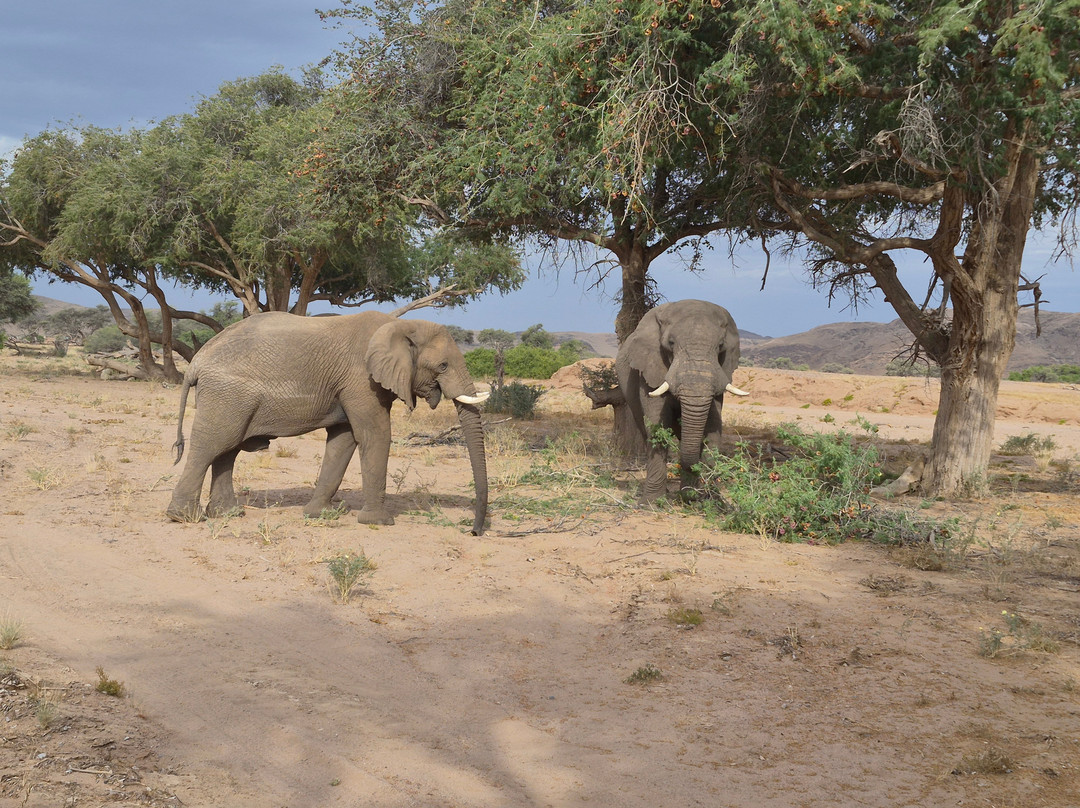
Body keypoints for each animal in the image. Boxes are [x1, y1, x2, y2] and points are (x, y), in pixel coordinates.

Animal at [166, 310, 490, 534]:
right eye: (443, 366)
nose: (473, 531)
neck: (398, 325)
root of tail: (196, 362)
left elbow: (342, 441)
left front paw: (317, 514)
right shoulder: (361, 380)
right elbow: (374, 435)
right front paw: (379, 522)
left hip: (231, 399)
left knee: (227, 450)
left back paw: (228, 515)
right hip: (227, 395)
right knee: (212, 445)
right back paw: (183, 518)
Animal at [615, 299, 748, 502]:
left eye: (720, 345)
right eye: (671, 343)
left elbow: (713, 425)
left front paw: (705, 499)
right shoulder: (650, 367)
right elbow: (657, 425)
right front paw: (652, 502)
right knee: (646, 431)